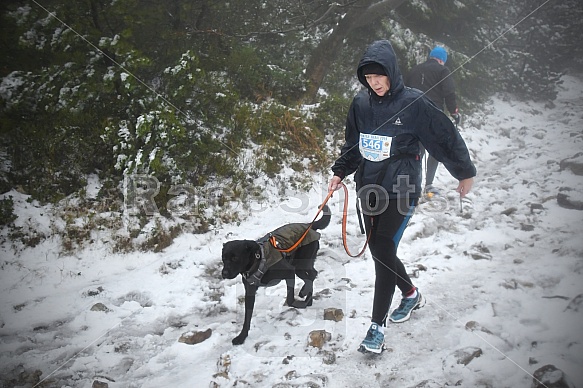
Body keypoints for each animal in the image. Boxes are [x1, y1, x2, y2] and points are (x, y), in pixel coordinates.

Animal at [221, 206, 330, 346]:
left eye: (235, 258)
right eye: (224, 258)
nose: (224, 273)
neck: (257, 261)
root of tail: (309, 226)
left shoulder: (289, 272)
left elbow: (290, 299)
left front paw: (298, 303)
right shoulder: (250, 291)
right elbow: (247, 317)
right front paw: (242, 336)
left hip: (300, 264)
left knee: (311, 276)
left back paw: (306, 296)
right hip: (300, 265)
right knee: (312, 274)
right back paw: (307, 296)